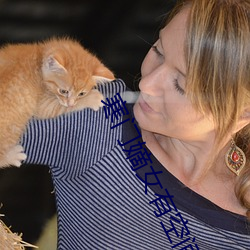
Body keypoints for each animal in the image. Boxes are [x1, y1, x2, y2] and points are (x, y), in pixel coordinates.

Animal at [0, 37, 114, 169]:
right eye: (63, 91)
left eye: (81, 94)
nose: (71, 103)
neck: (39, 60)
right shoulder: (42, 104)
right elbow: (59, 107)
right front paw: (94, 98)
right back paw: (13, 156)